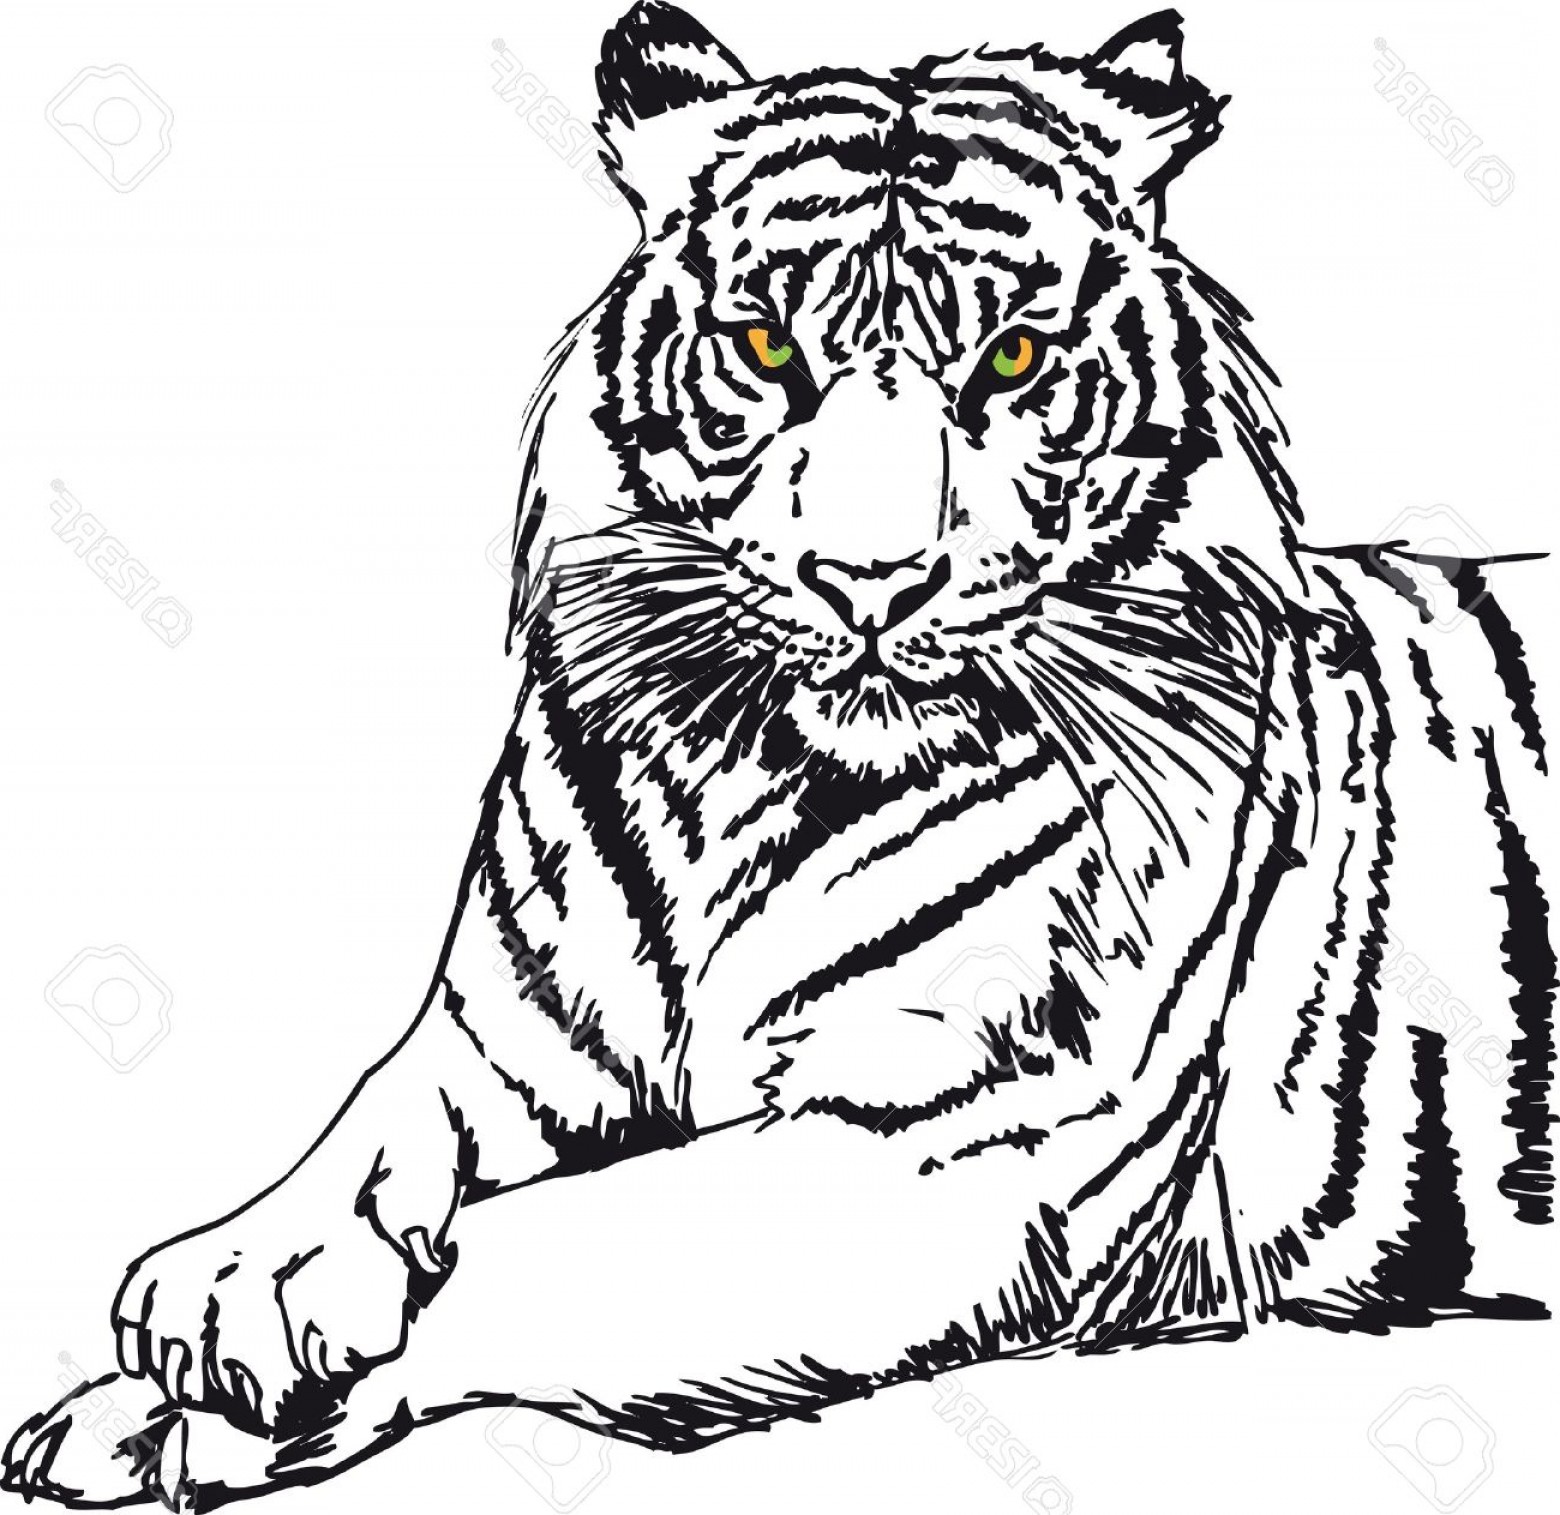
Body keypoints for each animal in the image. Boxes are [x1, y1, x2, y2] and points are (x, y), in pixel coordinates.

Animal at [6, 4, 1552, 1508]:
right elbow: (375, 1125)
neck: (743, 784)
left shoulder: (951, 1138)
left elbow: (531, 1240)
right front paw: (209, 1302)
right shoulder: (509, 1046)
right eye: (764, 350)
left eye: (1010, 359)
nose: (873, 581)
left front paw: (217, 1410)